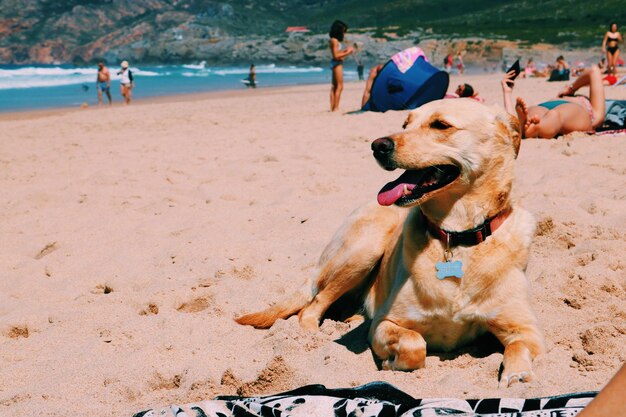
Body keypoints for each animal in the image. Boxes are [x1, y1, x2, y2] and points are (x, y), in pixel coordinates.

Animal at [234, 99, 540, 386]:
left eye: (440, 125)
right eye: (405, 124)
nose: (377, 145)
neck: (456, 236)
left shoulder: (527, 330)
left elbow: (519, 349)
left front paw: (517, 376)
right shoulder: (386, 323)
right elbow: (414, 345)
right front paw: (392, 363)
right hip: (364, 250)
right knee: (313, 305)